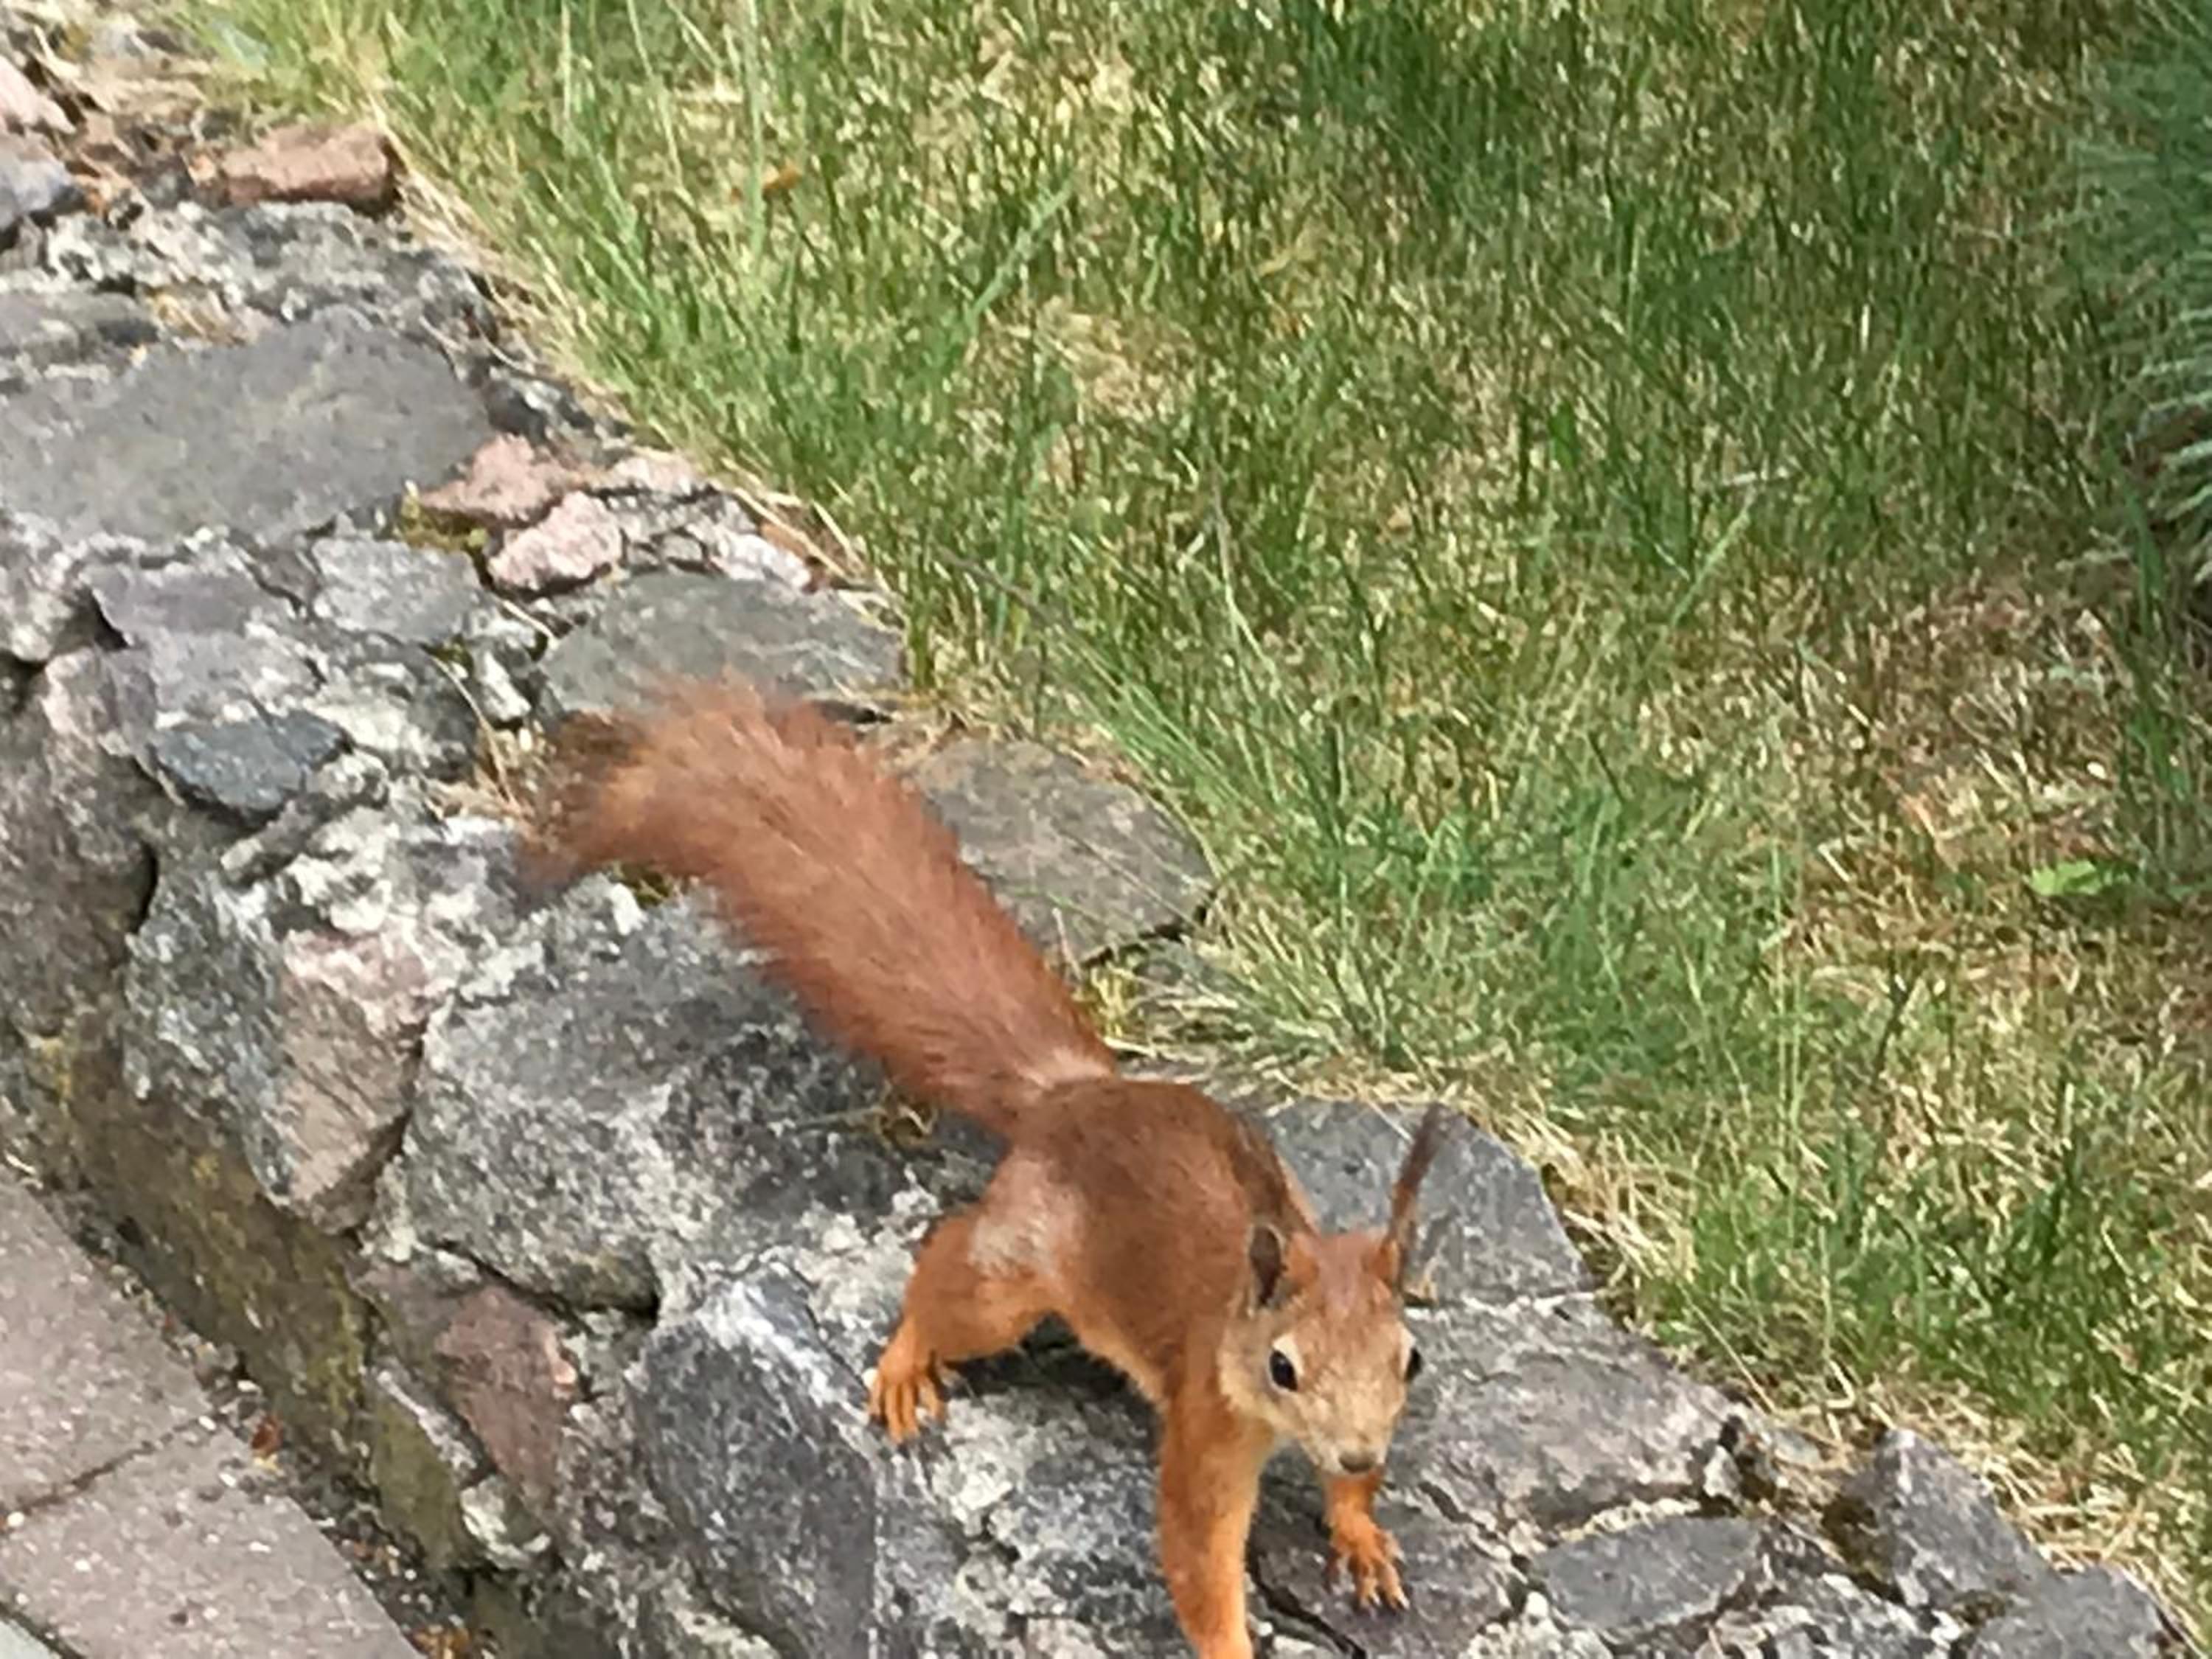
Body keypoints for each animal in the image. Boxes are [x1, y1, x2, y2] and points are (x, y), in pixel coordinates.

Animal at [528, 676, 1446, 1658]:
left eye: (1410, 1359)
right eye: (1283, 1367)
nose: (1358, 1448)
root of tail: (1068, 1097)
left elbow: (1346, 1502)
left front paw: (1359, 1529)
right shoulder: (1207, 1417)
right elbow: (1198, 1558)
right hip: (1013, 1277)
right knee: (948, 1264)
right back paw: (905, 1360)